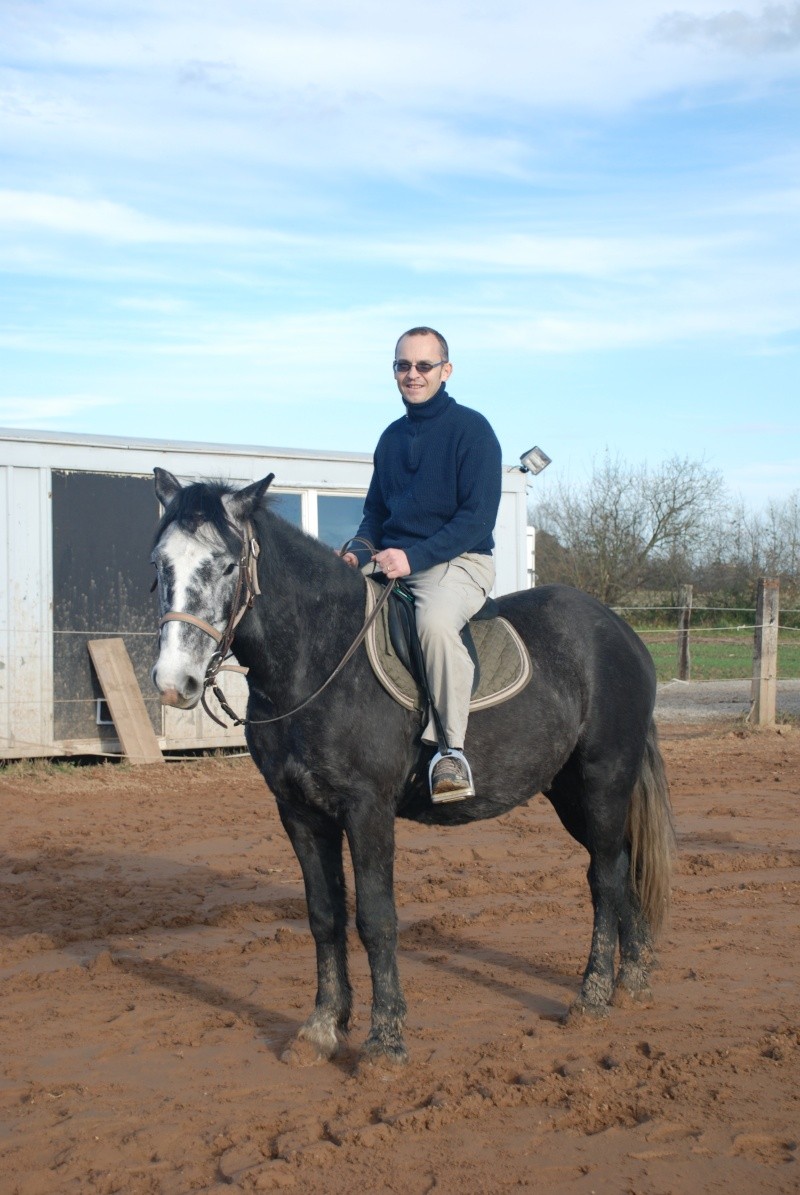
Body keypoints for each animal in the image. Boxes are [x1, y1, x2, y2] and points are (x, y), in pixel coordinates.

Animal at [151, 470, 674, 1070]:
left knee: (604, 877)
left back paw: (592, 997)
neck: (318, 659)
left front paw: (385, 1043)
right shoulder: (300, 812)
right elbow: (324, 914)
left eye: (227, 565)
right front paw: (322, 1028)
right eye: (160, 564)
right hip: (570, 793)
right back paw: (633, 981)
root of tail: (619, 632)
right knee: (623, 866)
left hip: (603, 779)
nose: (174, 682)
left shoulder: (367, 809)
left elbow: (376, 919)